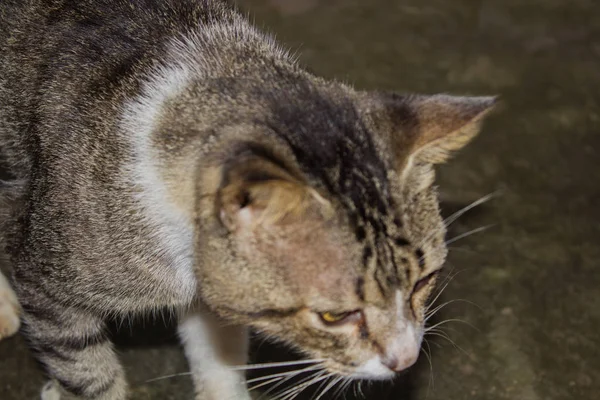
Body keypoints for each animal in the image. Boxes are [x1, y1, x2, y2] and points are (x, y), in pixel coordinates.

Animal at [0, 0, 494, 400]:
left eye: (424, 281)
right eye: (334, 316)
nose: (406, 360)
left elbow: (217, 352)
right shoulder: (46, 280)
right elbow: (86, 371)